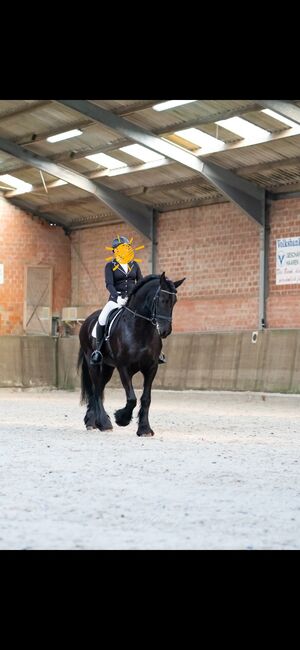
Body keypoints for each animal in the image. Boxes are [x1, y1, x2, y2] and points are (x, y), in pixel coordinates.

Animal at [77, 270, 185, 436]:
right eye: (161, 299)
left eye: (174, 301)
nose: (165, 331)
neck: (140, 329)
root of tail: (87, 321)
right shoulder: (124, 367)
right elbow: (132, 398)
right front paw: (121, 418)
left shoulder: (151, 368)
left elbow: (146, 398)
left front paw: (145, 428)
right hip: (93, 363)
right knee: (96, 390)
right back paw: (103, 423)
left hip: (107, 367)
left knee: (99, 389)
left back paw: (94, 421)